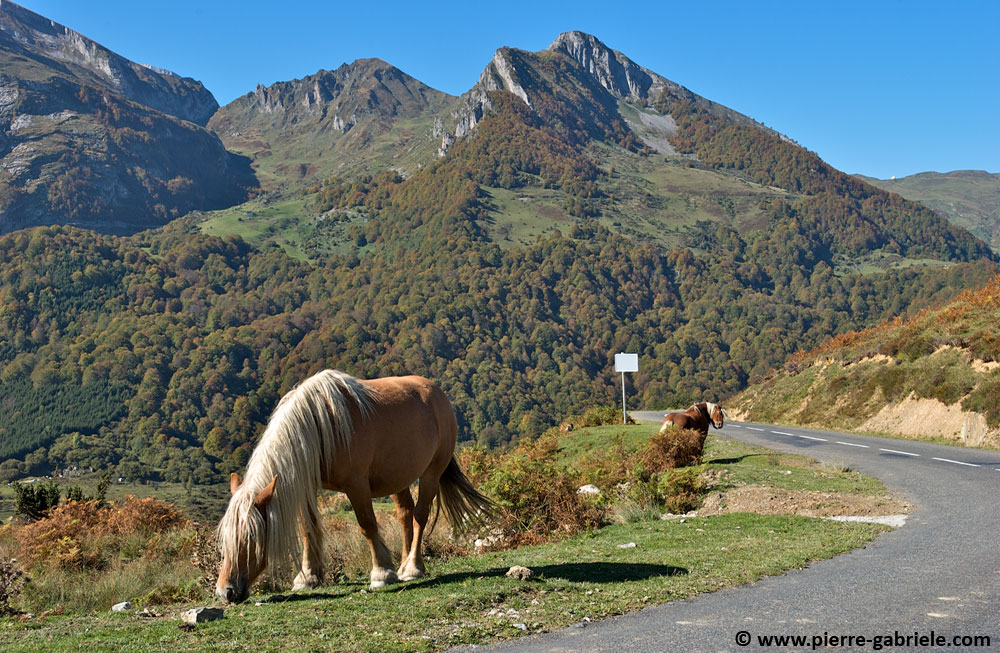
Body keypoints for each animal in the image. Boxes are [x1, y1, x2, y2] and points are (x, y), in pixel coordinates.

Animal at [215, 370, 492, 603]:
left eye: (250, 538)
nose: (225, 591)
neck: (321, 424)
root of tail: (437, 393)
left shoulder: (356, 485)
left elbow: (367, 525)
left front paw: (381, 573)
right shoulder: (307, 486)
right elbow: (307, 529)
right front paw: (308, 577)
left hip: (431, 474)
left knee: (419, 516)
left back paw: (413, 567)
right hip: (398, 479)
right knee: (405, 514)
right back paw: (403, 566)